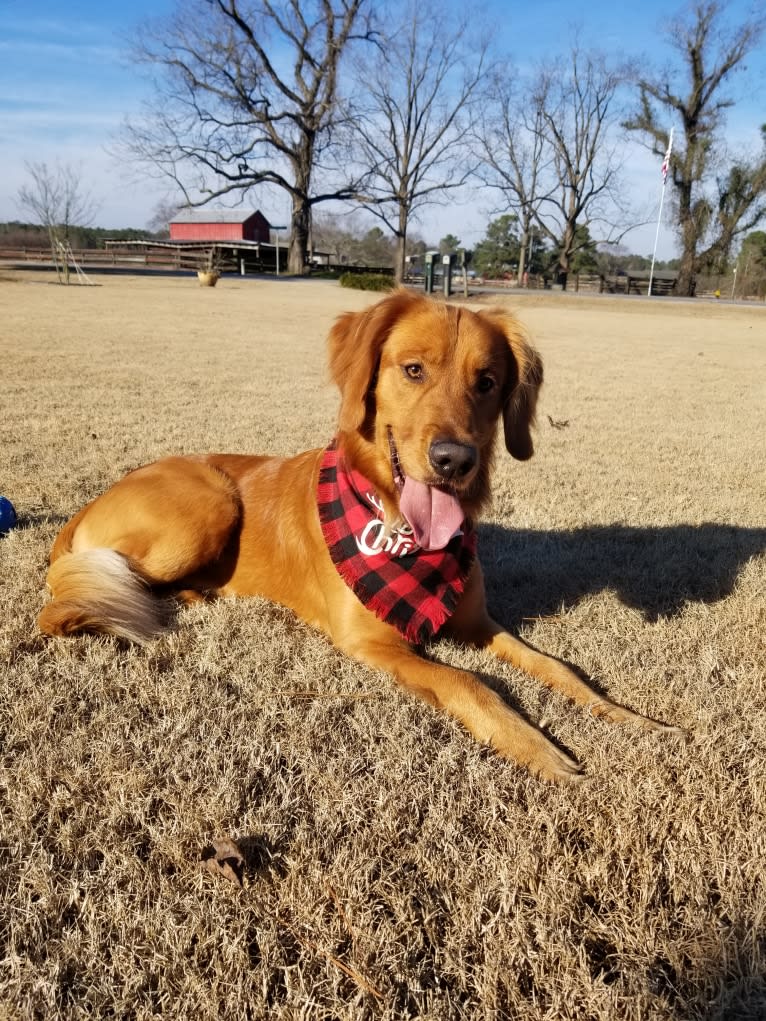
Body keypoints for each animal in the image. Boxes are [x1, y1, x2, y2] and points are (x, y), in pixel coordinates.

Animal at [39, 287, 674, 780]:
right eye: (413, 369)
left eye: (488, 382)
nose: (454, 461)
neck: (399, 531)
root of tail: (91, 502)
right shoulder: (371, 643)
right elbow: (470, 683)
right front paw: (539, 748)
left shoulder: (478, 622)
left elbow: (558, 667)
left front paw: (630, 716)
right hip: (210, 503)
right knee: (68, 599)